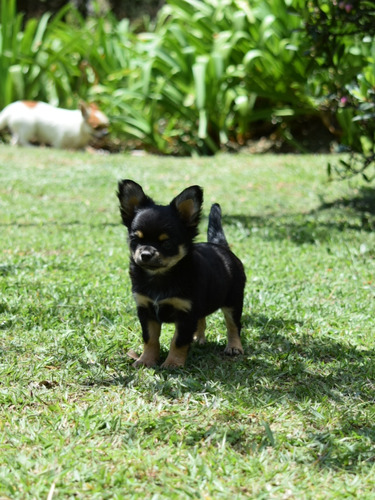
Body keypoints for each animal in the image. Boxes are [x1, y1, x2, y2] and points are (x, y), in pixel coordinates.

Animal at [117, 180, 247, 368]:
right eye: (136, 240)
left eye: (167, 243)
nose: (145, 254)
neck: (160, 276)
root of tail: (221, 246)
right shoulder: (146, 310)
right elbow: (150, 339)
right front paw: (146, 360)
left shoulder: (186, 313)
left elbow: (178, 341)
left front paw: (173, 363)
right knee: (202, 319)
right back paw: (198, 338)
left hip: (233, 301)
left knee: (233, 325)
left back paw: (234, 346)